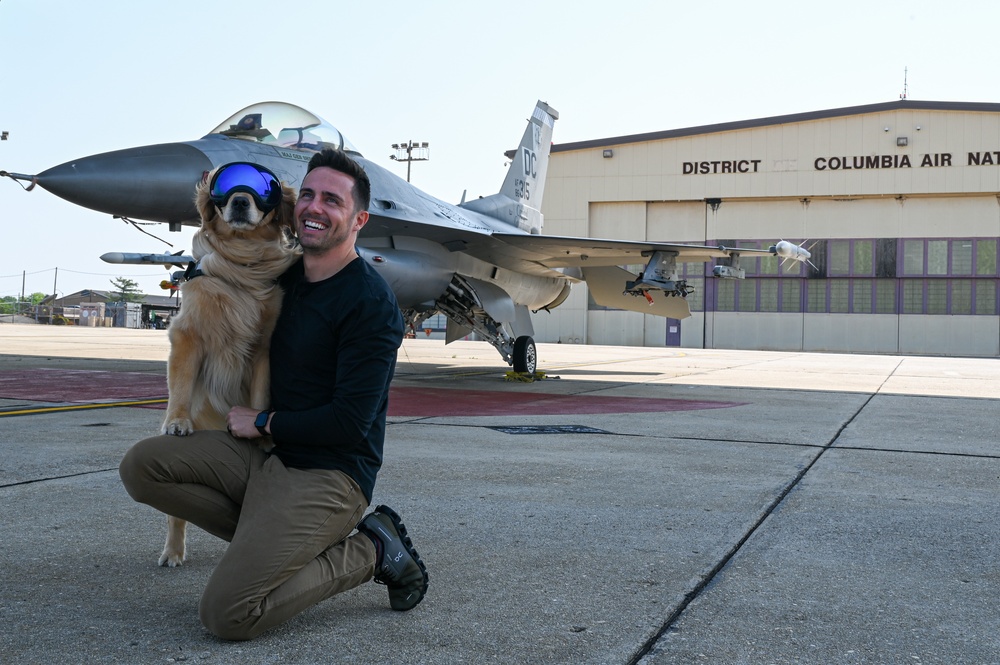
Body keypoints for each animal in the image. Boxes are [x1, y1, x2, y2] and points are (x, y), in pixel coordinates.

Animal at [158, 162, 300, 564]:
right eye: (226, 184)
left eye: (264, 188)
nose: (239, 200)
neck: (242, 258)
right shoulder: (187, 334)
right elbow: (181, 385)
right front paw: (178, 421)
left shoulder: (264, 347)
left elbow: (259, 397)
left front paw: (261, 437)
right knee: (176, 513)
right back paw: (173, 550)